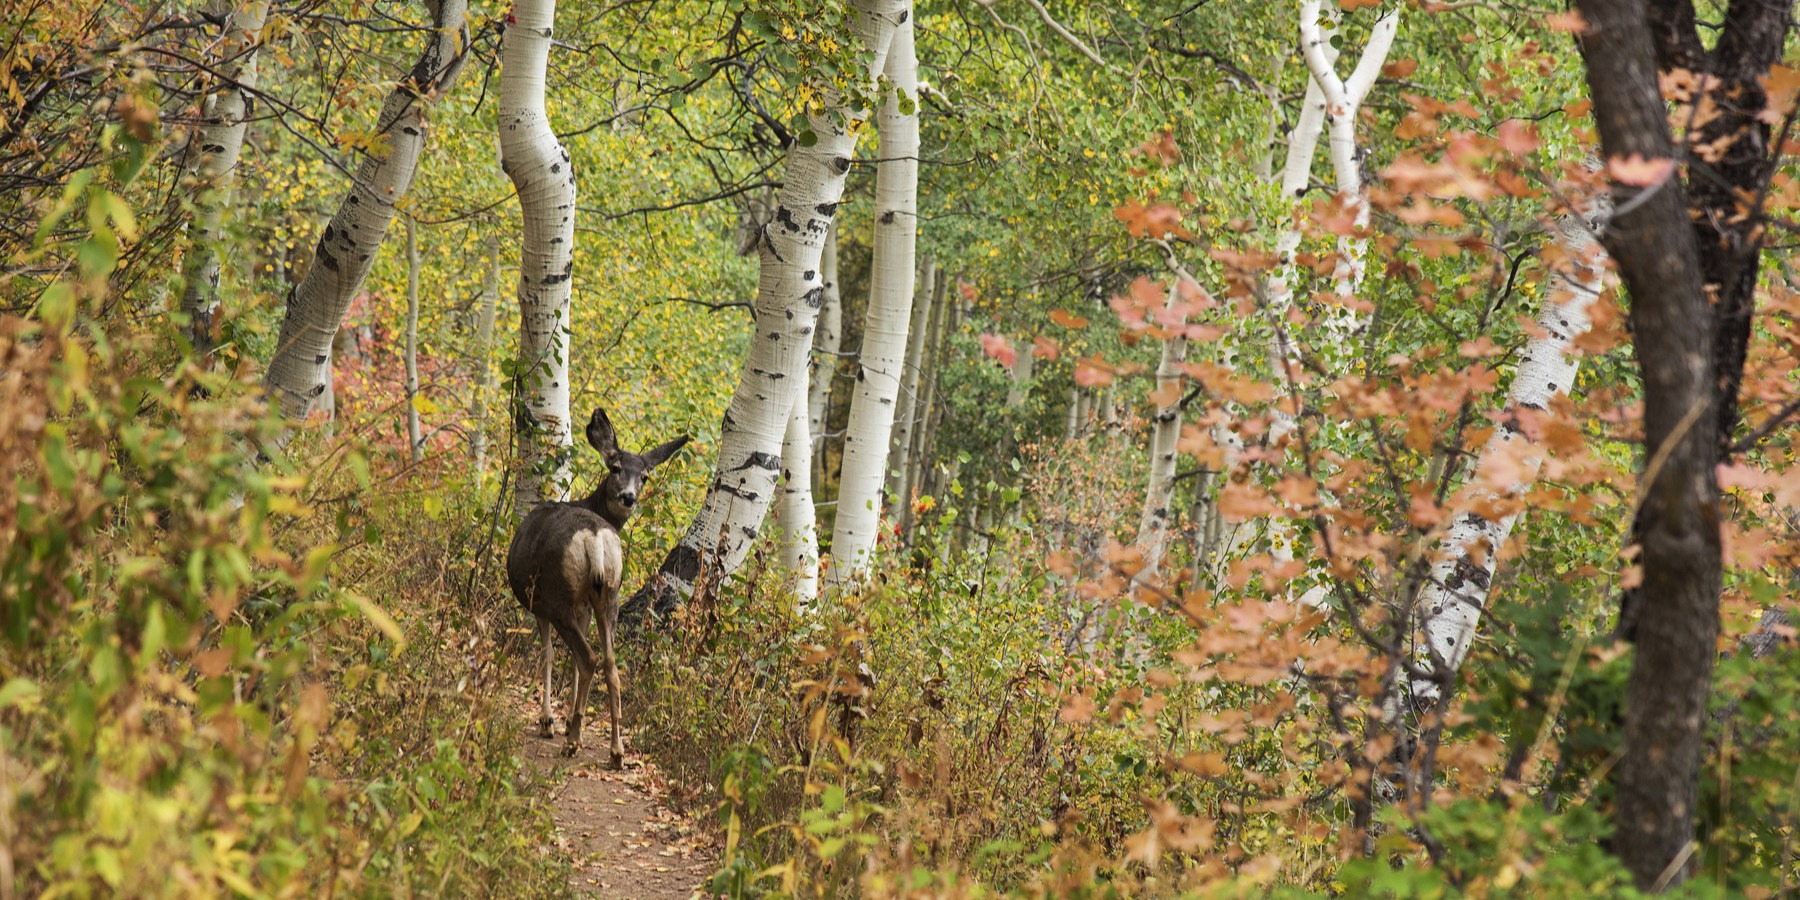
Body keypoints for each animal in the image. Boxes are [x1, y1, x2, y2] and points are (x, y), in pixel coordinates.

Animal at [507, 408, 687, 766]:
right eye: (616, 468)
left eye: (644, 476)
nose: (629, 496)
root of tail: (595, 538)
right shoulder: (585, 606)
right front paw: (568, 717)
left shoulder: (540, 605)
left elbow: (548, 654)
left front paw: (550, 720)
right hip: (610, 595)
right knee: (610, 662)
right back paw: (616, 751)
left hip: (558, 596)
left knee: (587, 656)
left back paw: (573, 741)